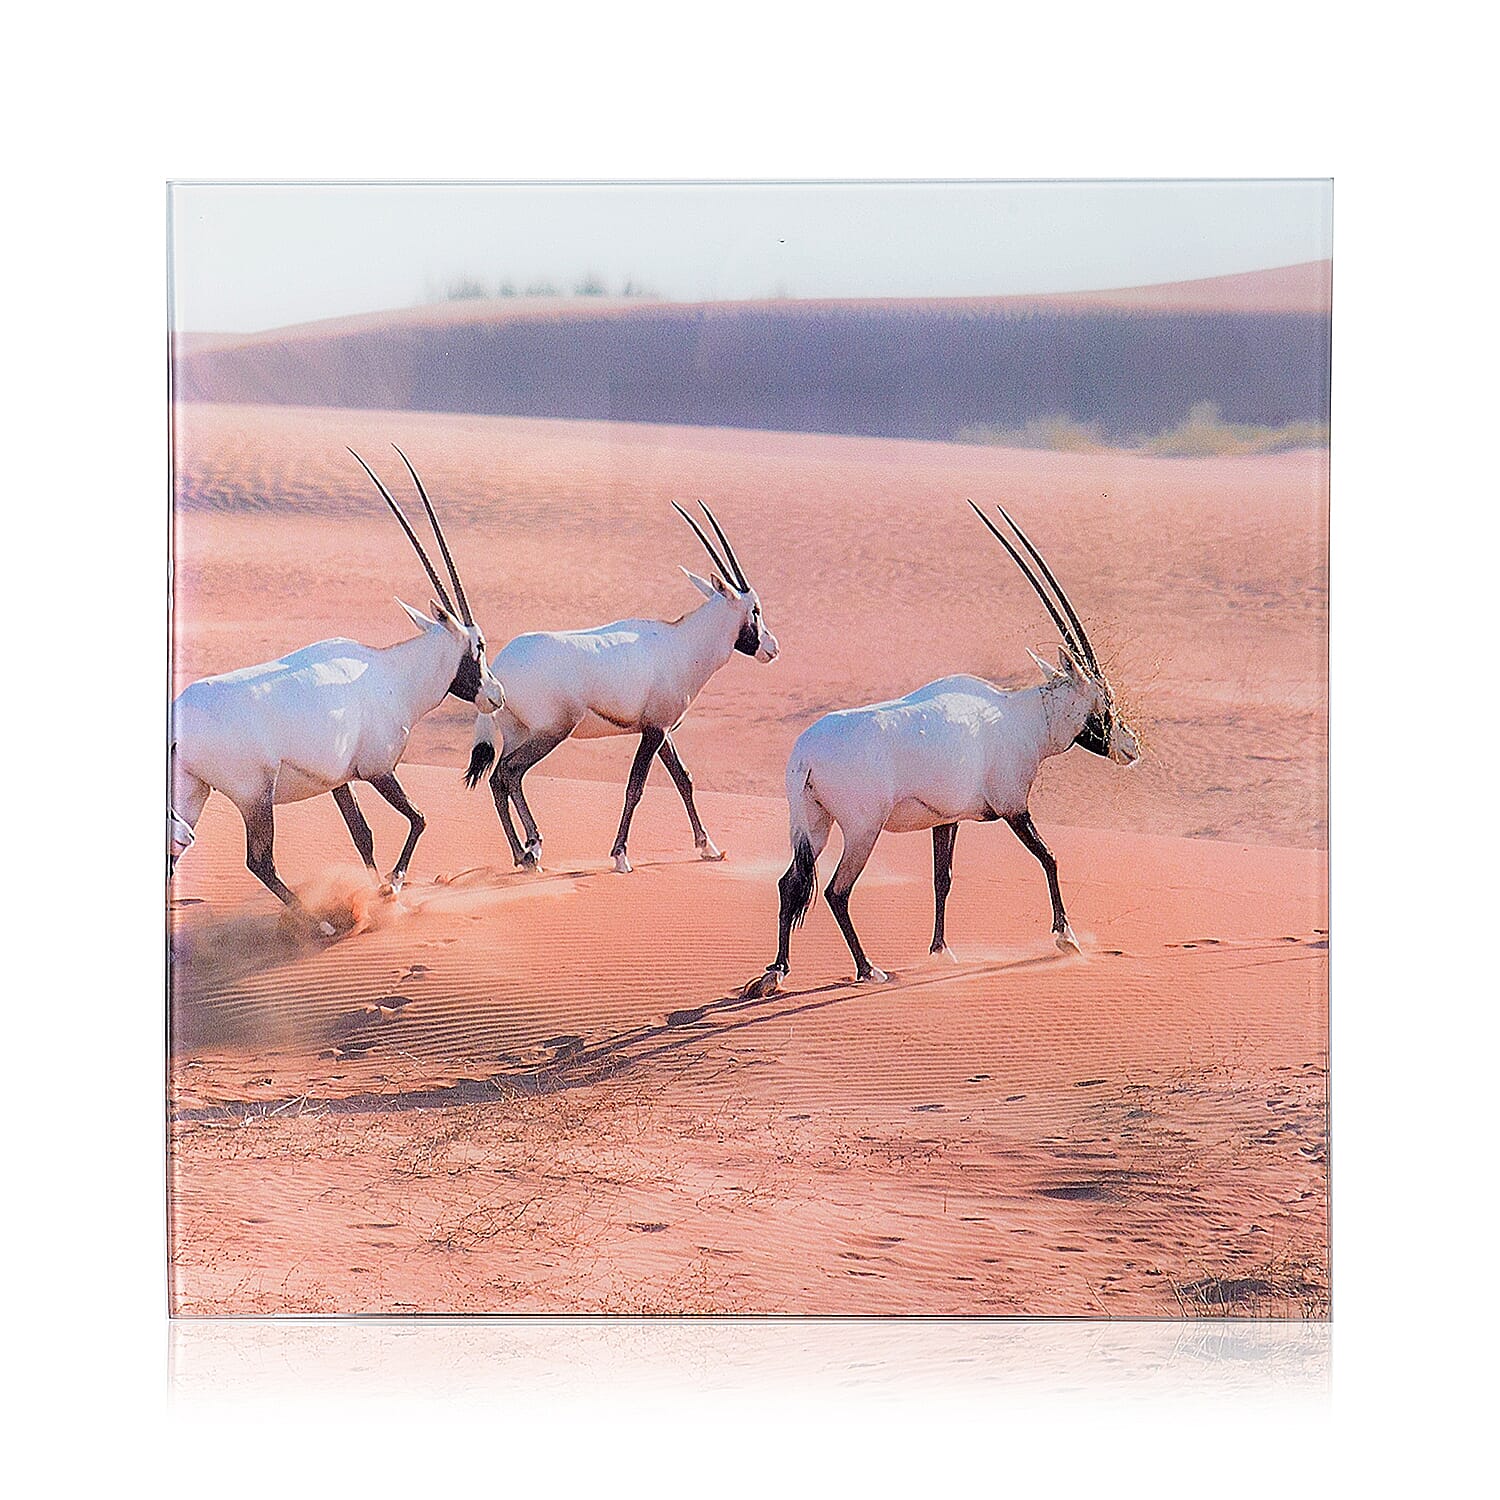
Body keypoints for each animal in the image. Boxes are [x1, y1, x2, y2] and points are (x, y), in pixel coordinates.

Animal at [169, 447, 504, 933]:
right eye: (478, 646)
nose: (496, 695)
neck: (392, 675)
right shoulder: (379, 770)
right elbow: (418, 818)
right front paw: (391, 887)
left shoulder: (339, 780)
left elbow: (363, 834)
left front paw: (377, 892)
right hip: (255, 797)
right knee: (259, 860)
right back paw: (318, 925)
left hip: (193, 792)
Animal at [464, 500, 778, 873]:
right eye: (755, 610)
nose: (772, 648)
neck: (683, 643)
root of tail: (497, 667)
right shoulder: (654, 732)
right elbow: (635, 788)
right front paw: (620, 855)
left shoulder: (662, 730)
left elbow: (684, 779)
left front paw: (709, 848)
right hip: (552, 732)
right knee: (510, 772)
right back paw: (531, 850)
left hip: (518, 732)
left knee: (498, 777)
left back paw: (521, 854)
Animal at [744, 502, 1140, 997]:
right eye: (1105, 702)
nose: (1131, 746)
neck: (1021, 717)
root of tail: (805, 756)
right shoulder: (1013, 808)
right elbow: (1049, 857)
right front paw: (1066, 938)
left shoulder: (945, 820)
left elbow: (942, 879)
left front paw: (940, 951)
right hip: (862, 830)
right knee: (837, 890)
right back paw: (868, 969)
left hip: (813, 824)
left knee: (790, 883)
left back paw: (775, 972)